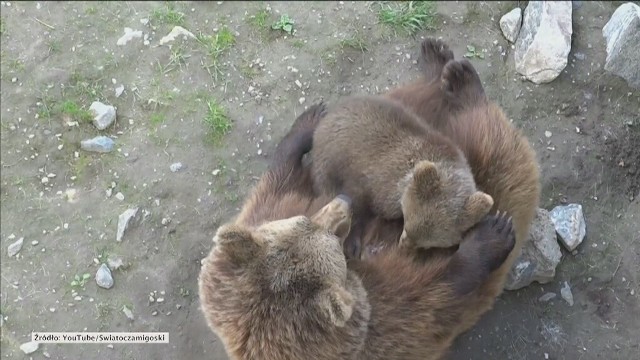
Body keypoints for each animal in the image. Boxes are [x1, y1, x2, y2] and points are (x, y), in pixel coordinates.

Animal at [310, 95, 496, 258]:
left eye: (426, 245)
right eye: (406, 226)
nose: (402, 246)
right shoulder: (370, 180)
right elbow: (355, 202)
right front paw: (351, 243)